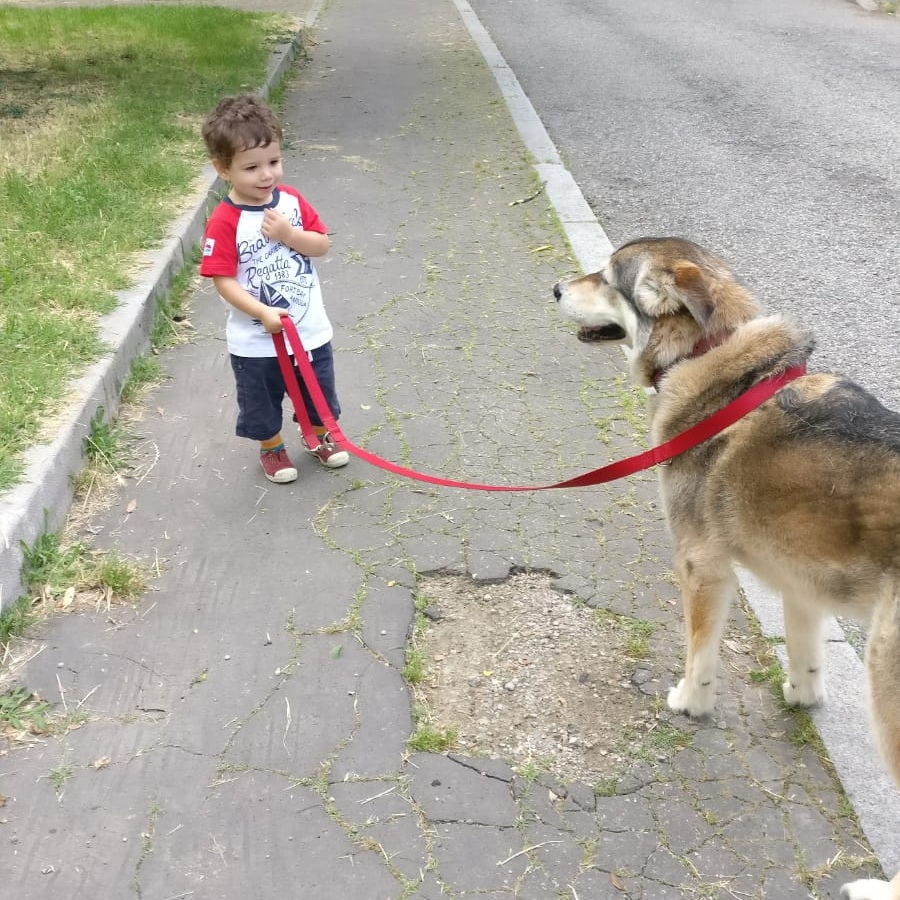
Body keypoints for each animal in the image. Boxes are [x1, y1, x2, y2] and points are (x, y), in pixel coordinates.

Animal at [556, 236, 900, 896]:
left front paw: (691, 701)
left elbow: (700, 654)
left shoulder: (701, 563)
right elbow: (805, 655)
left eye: (609, 278)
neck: (715, 354)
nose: (556, 288)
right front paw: (801, 695)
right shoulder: (801, 582)